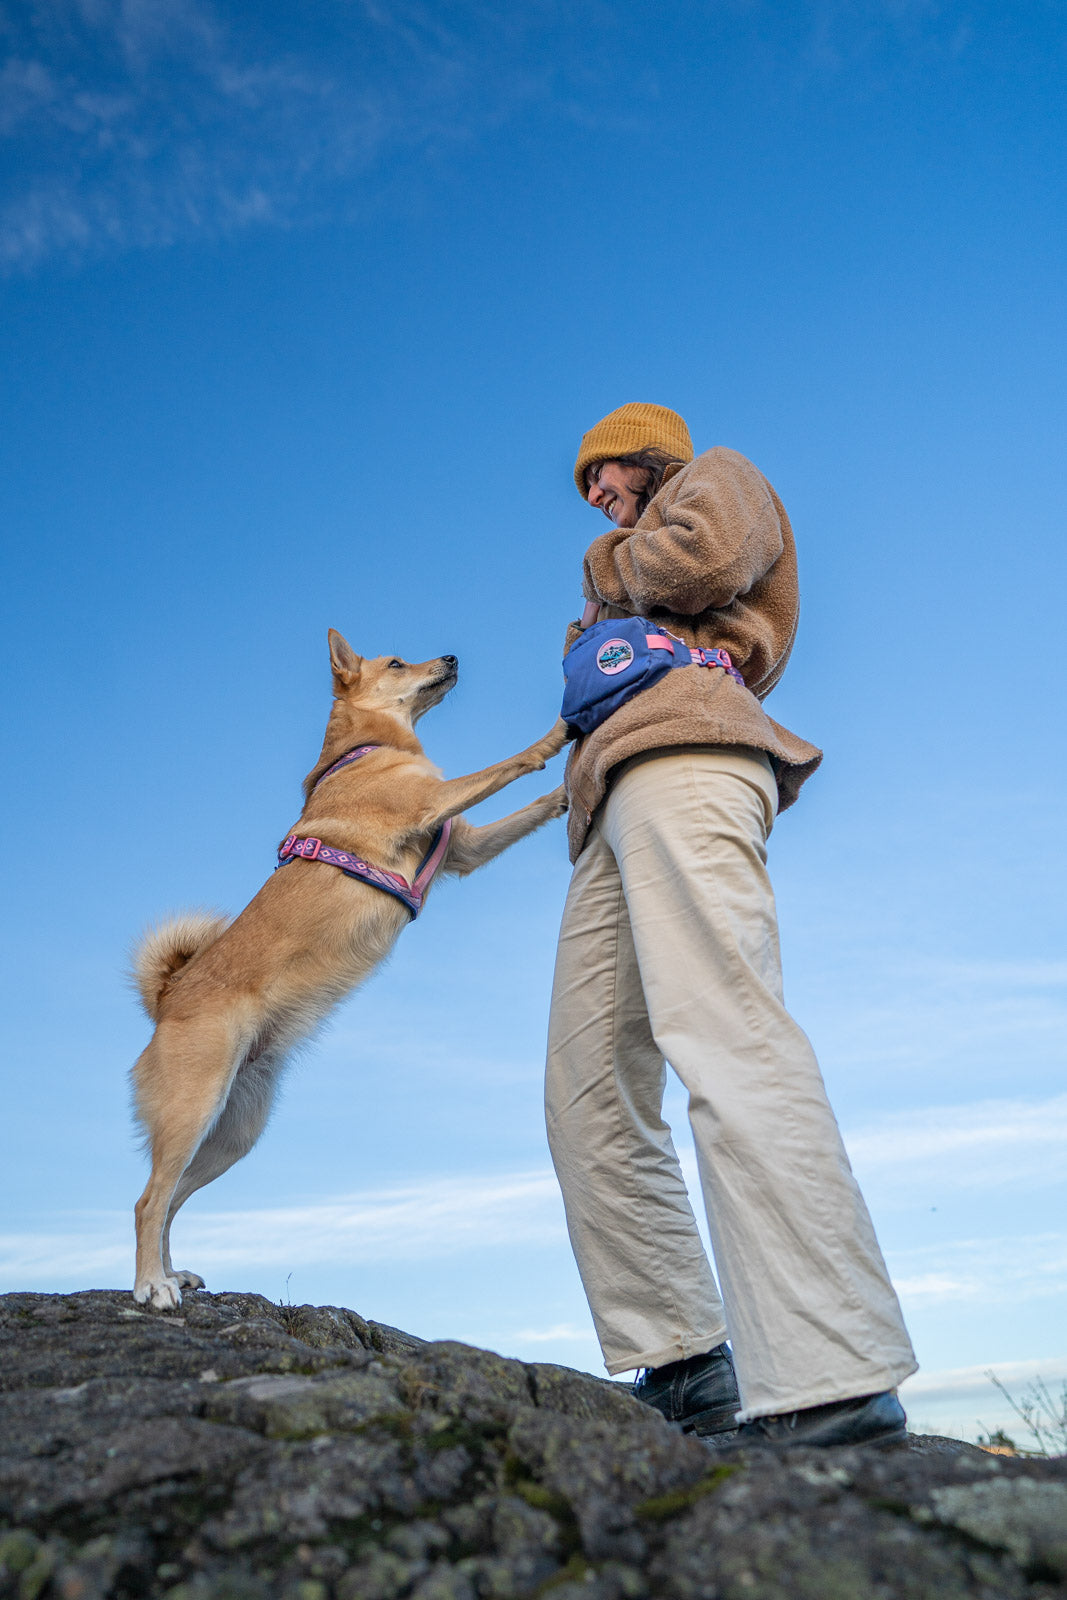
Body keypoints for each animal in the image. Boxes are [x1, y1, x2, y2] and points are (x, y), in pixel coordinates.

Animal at [129, 627, 572, 1312]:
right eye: (397, 662)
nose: (452, 656)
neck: (367, 747)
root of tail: (168, 998)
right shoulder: (431, 801)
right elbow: (512, 761)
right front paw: (557, 733)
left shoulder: (465, 850)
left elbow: (525, 809)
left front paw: (569, 791)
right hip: (191, 1110)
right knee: (147, 1201)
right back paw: (152, 1285)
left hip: (232, 1134)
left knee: (170, 1201)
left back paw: (173, 1274)